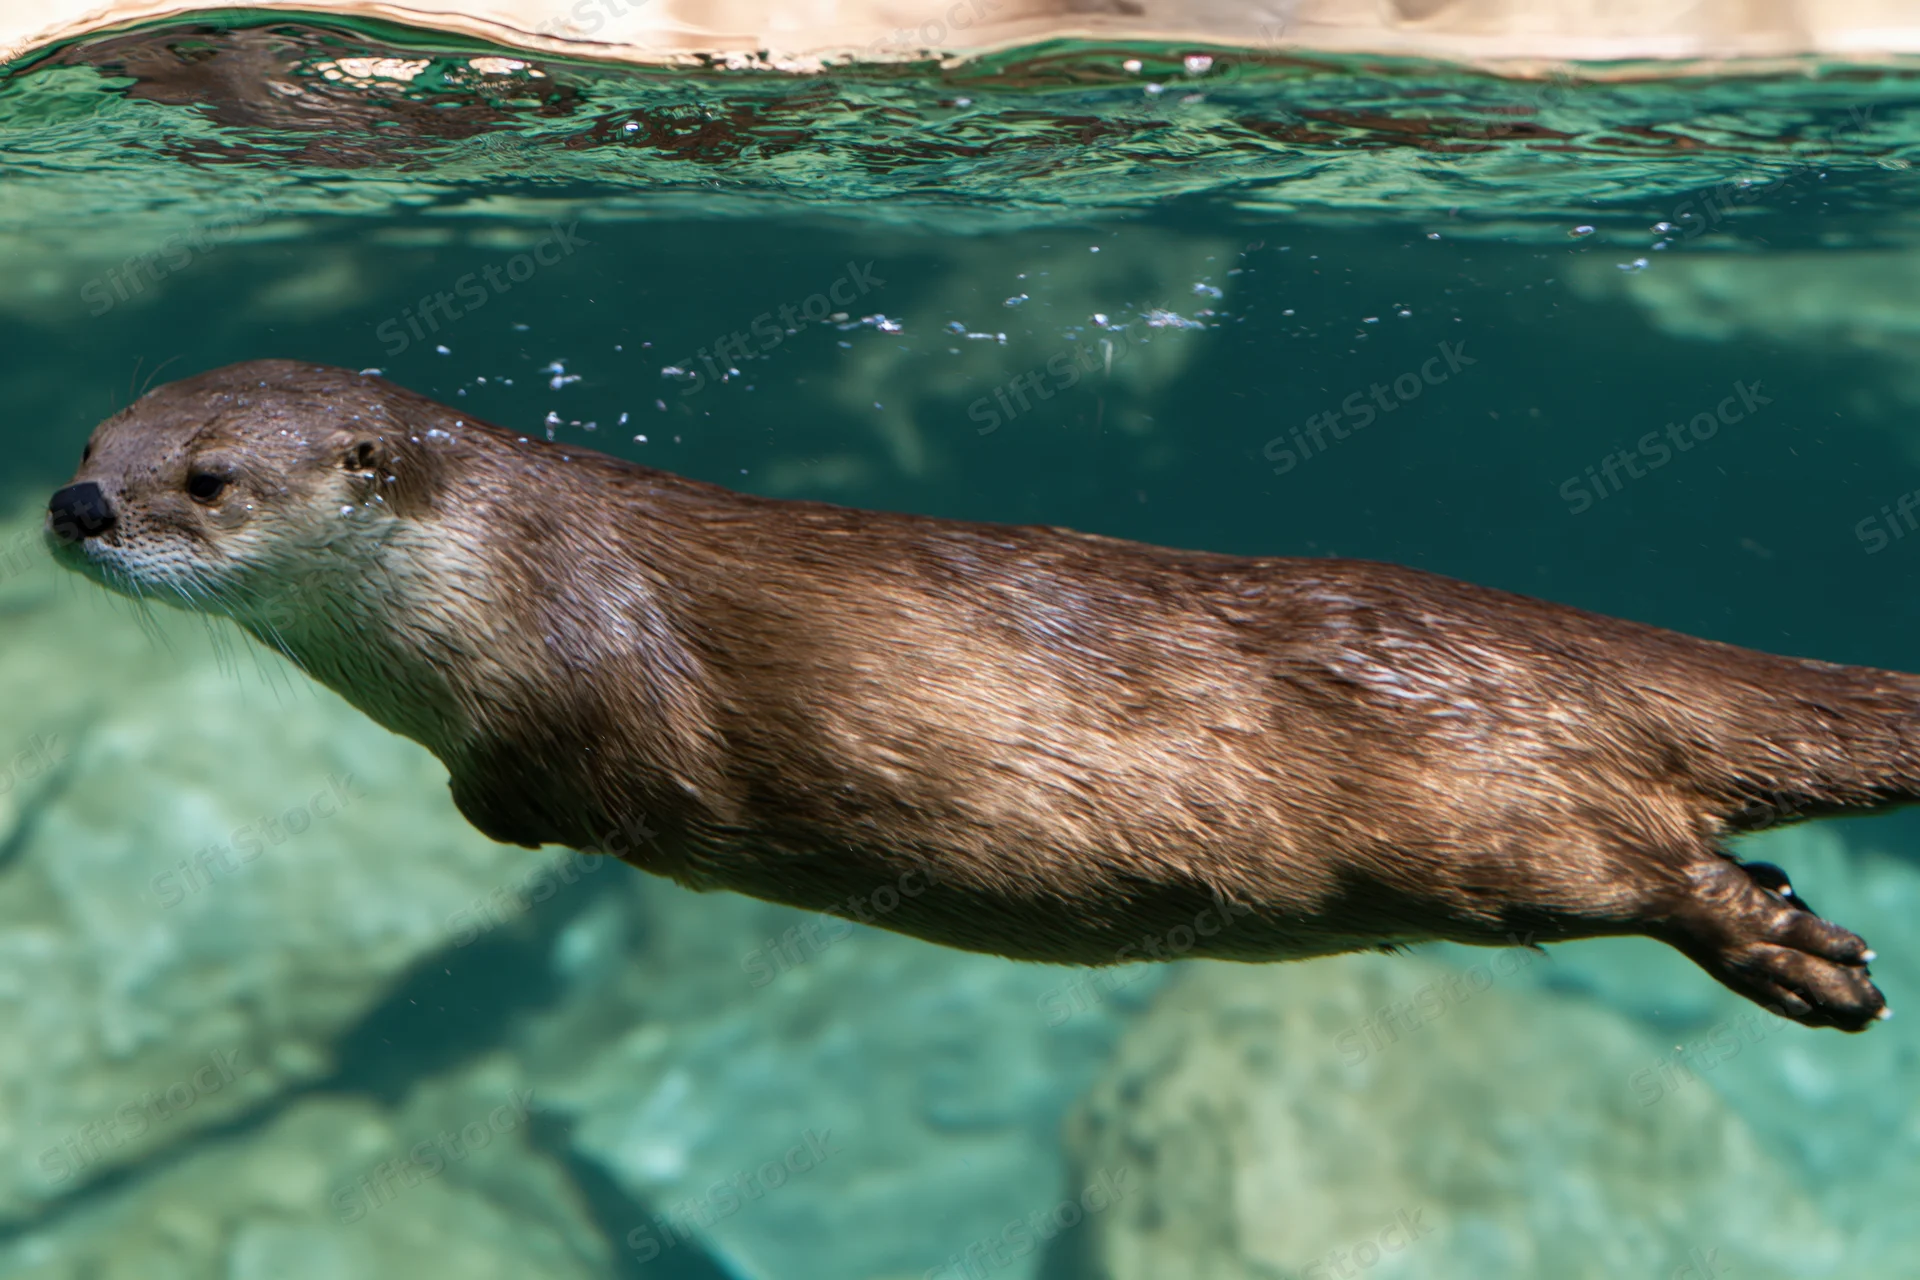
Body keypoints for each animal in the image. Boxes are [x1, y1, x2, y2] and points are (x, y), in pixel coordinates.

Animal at [43, 360, 1905, 1031]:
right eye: (94, 436)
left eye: (206, 480)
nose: (76, 508)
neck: (494, 579)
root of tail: (1541, 634)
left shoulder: (593, 670)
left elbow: (591, 791)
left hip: (1485, 814)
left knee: (1644, 866)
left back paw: (1799, 959)